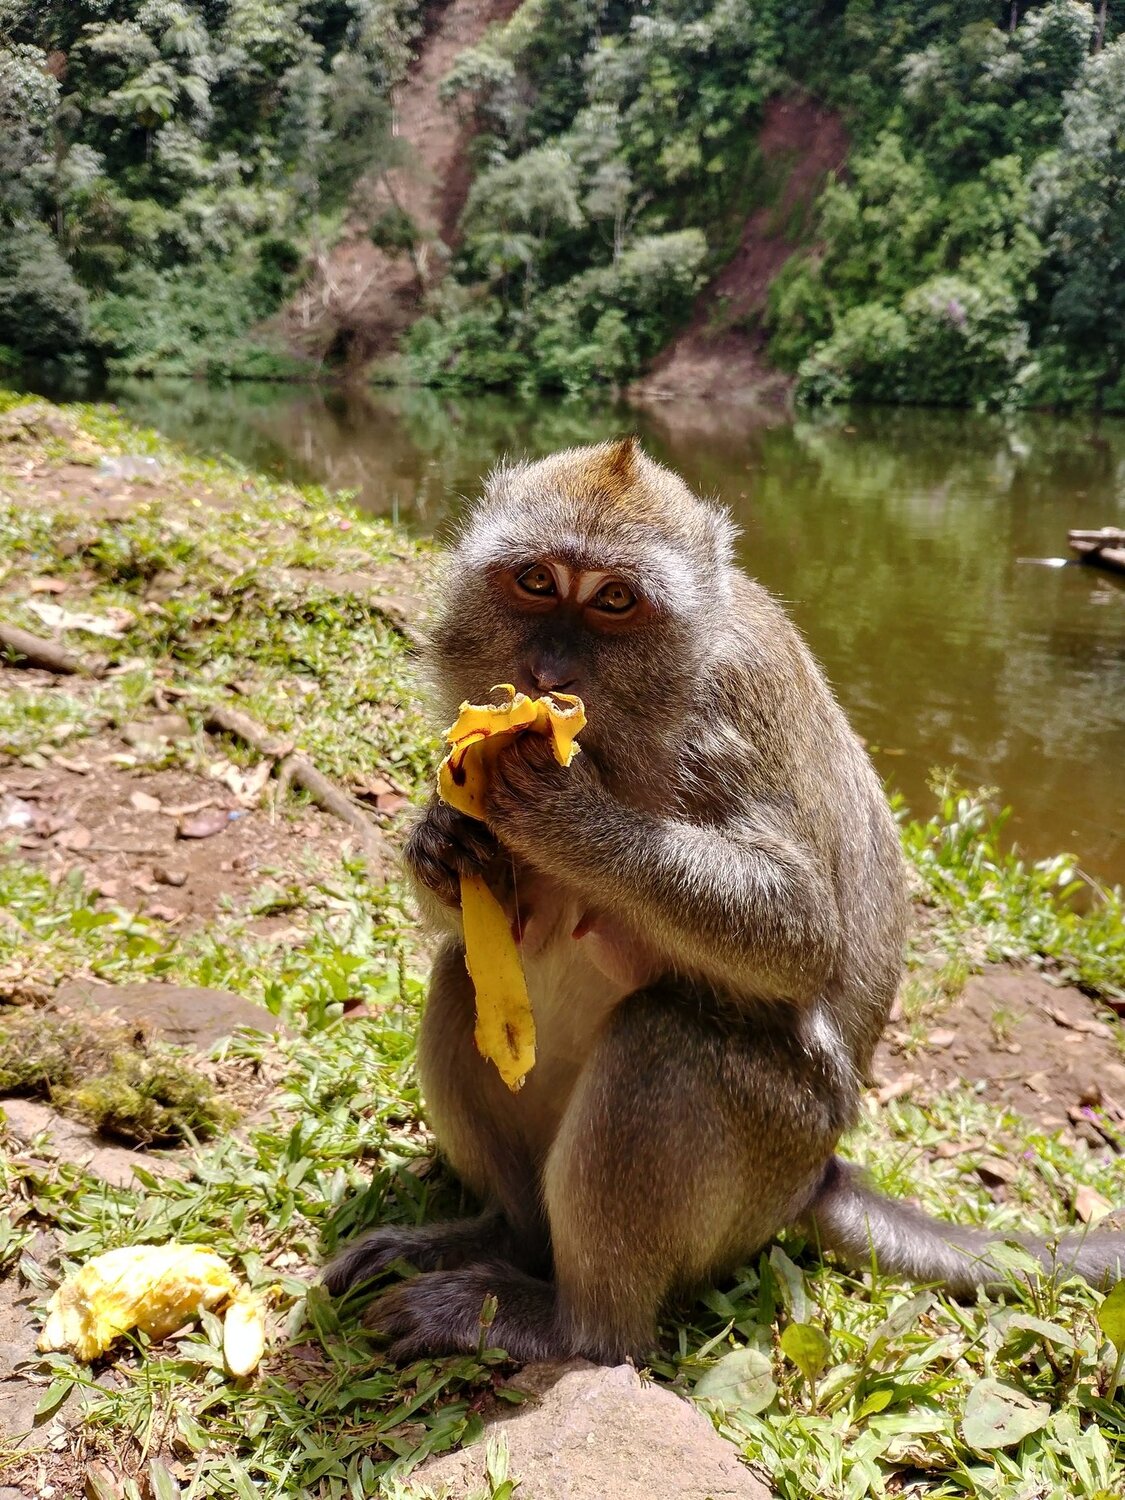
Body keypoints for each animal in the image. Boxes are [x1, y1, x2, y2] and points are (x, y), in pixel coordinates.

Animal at [325, 437, 1125, 1364]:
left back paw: (565, 1325)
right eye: (534, 581)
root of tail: (817, 1175)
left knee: (664, 1039)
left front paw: (562, 811)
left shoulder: (737, 705)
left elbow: (799, 931)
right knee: (465, 975)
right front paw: (442, 842)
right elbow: (486, 912)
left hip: (770, 1153)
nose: (547, 672)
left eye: (615, 600)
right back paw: (502, 1240)